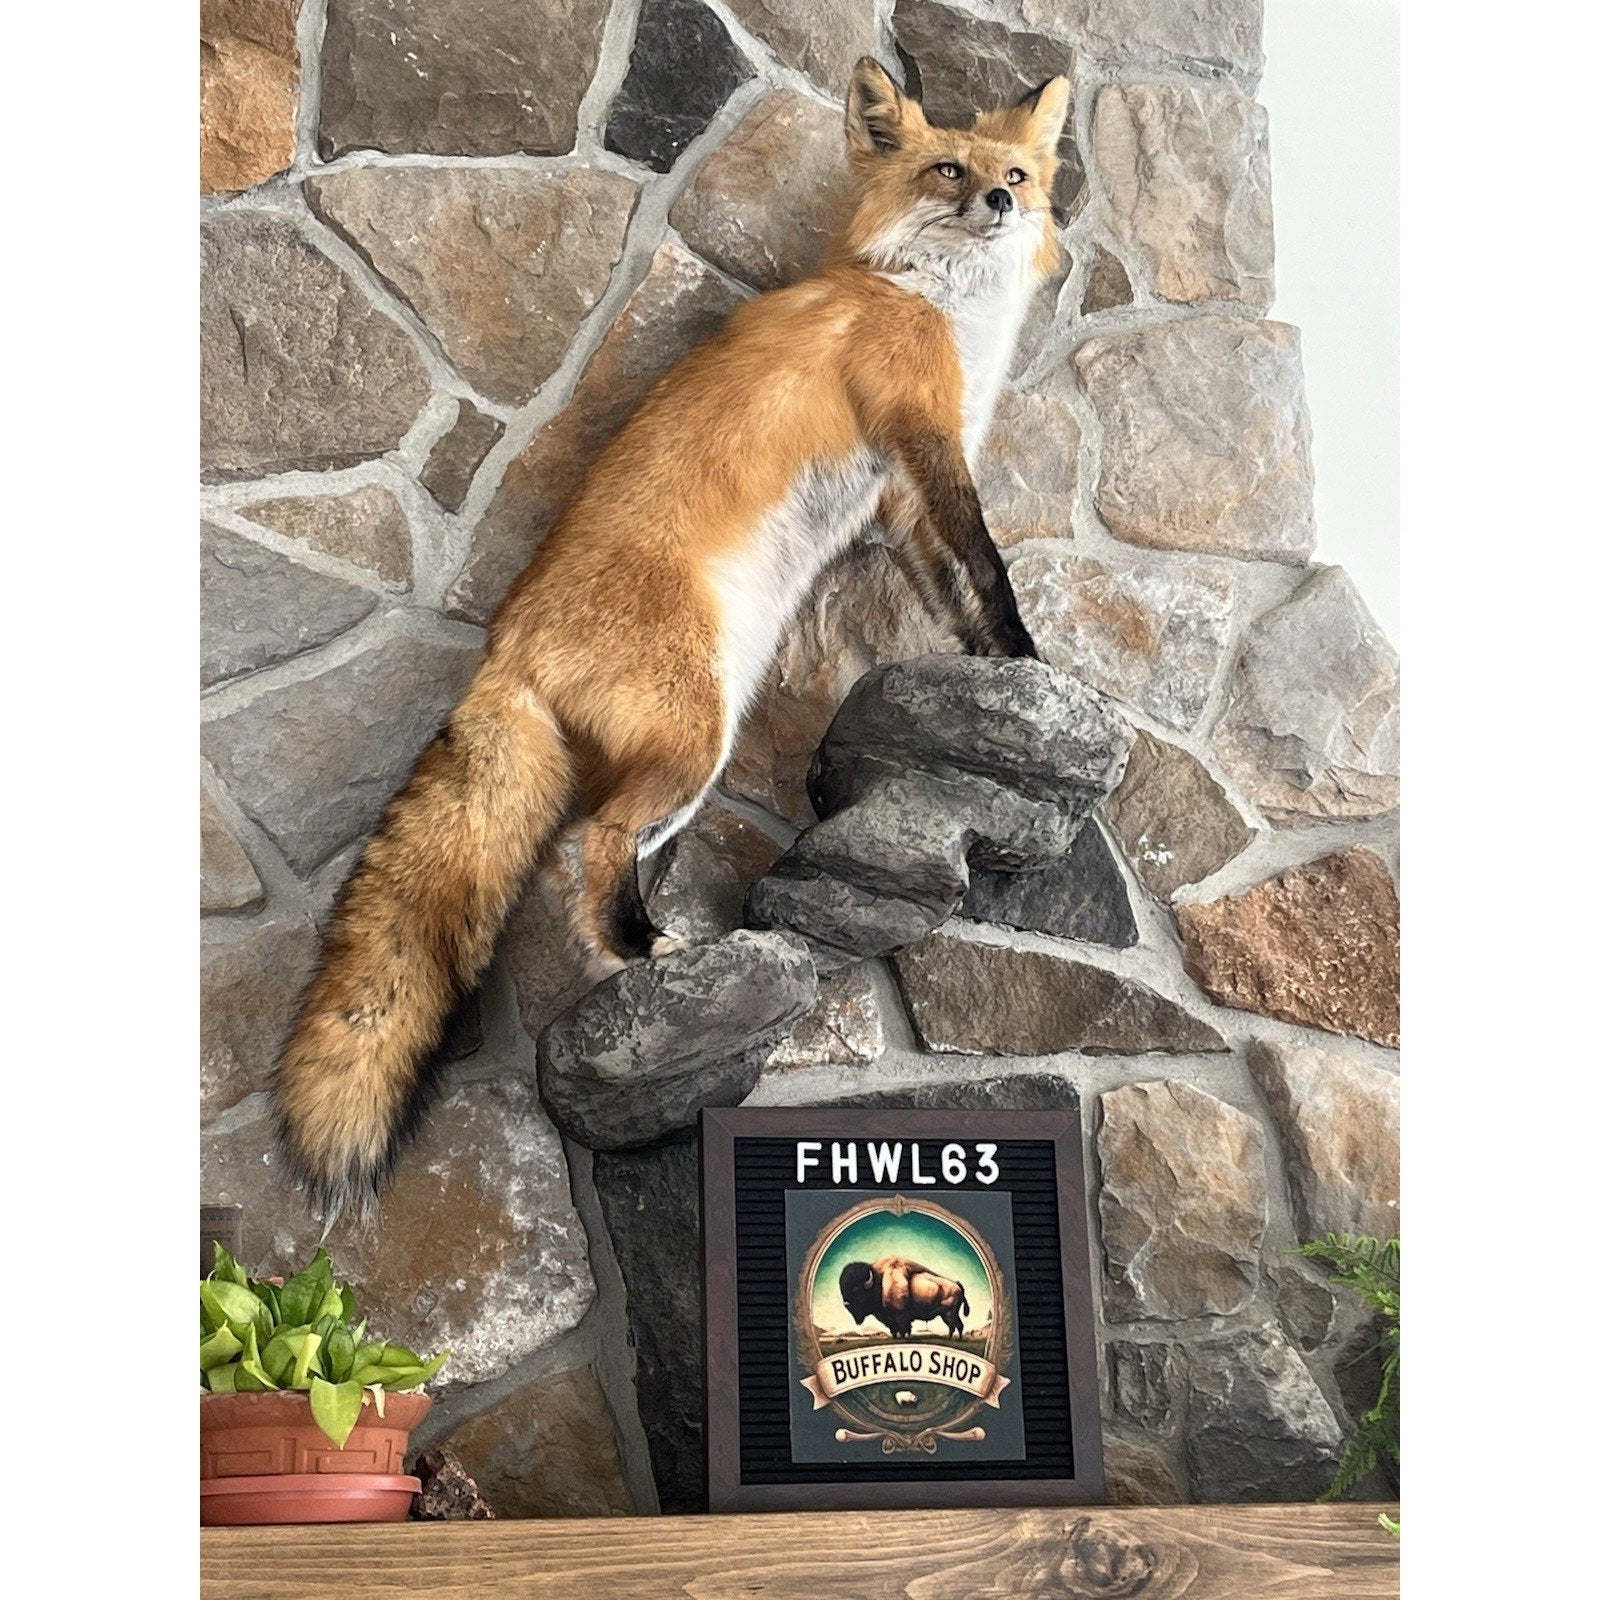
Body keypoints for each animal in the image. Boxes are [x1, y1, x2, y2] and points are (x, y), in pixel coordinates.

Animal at [274, 59, 1073, 1215]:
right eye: (947, 171)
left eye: (1012, 173)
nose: (1002, 207)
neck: (919, 290)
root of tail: (507, 646)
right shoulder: (923, 436)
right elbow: (992, 567)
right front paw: (1030, 657)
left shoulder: (899, 495)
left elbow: (952, 588)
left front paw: (990, 663)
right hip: (695, 737)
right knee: (584, 847)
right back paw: (649, 955)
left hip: (693, 748)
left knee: (607, 856)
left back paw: (639, 955)